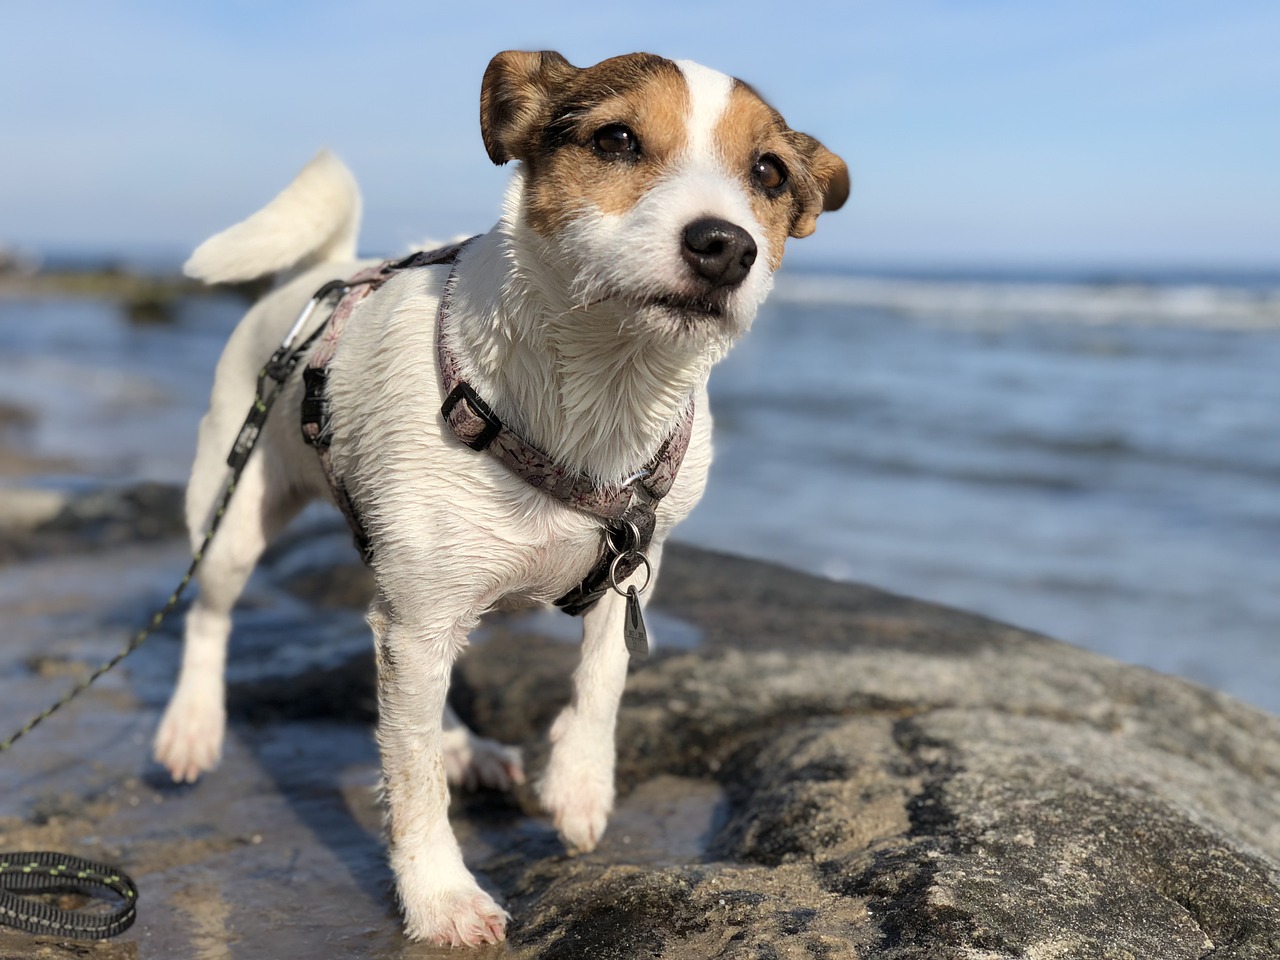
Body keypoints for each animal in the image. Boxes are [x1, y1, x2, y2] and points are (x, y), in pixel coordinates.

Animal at [152, 52, 849, 947]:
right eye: (616, 140)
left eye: (768, 173)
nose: (726, 245)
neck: (600, 398)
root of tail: (321, 276)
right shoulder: (419, 622)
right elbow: (411, 778)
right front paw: (439, 895)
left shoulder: (633, 561)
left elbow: (603, 674)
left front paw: (580, 784)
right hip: (236, 514)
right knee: (212, 618)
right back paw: (193, 725)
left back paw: (465, 745)